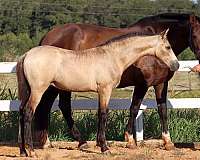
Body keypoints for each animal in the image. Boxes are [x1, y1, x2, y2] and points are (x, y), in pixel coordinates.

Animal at [33, 12, 200, 150]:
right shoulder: (142, 84)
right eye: (195, 35)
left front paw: (168, 142)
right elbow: (134, 108)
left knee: (51, 107)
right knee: (58, 107)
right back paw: (76, 141)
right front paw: (130, 140)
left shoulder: (161, 83)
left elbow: (162, 110)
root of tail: (47, 37)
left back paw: (52, 142)